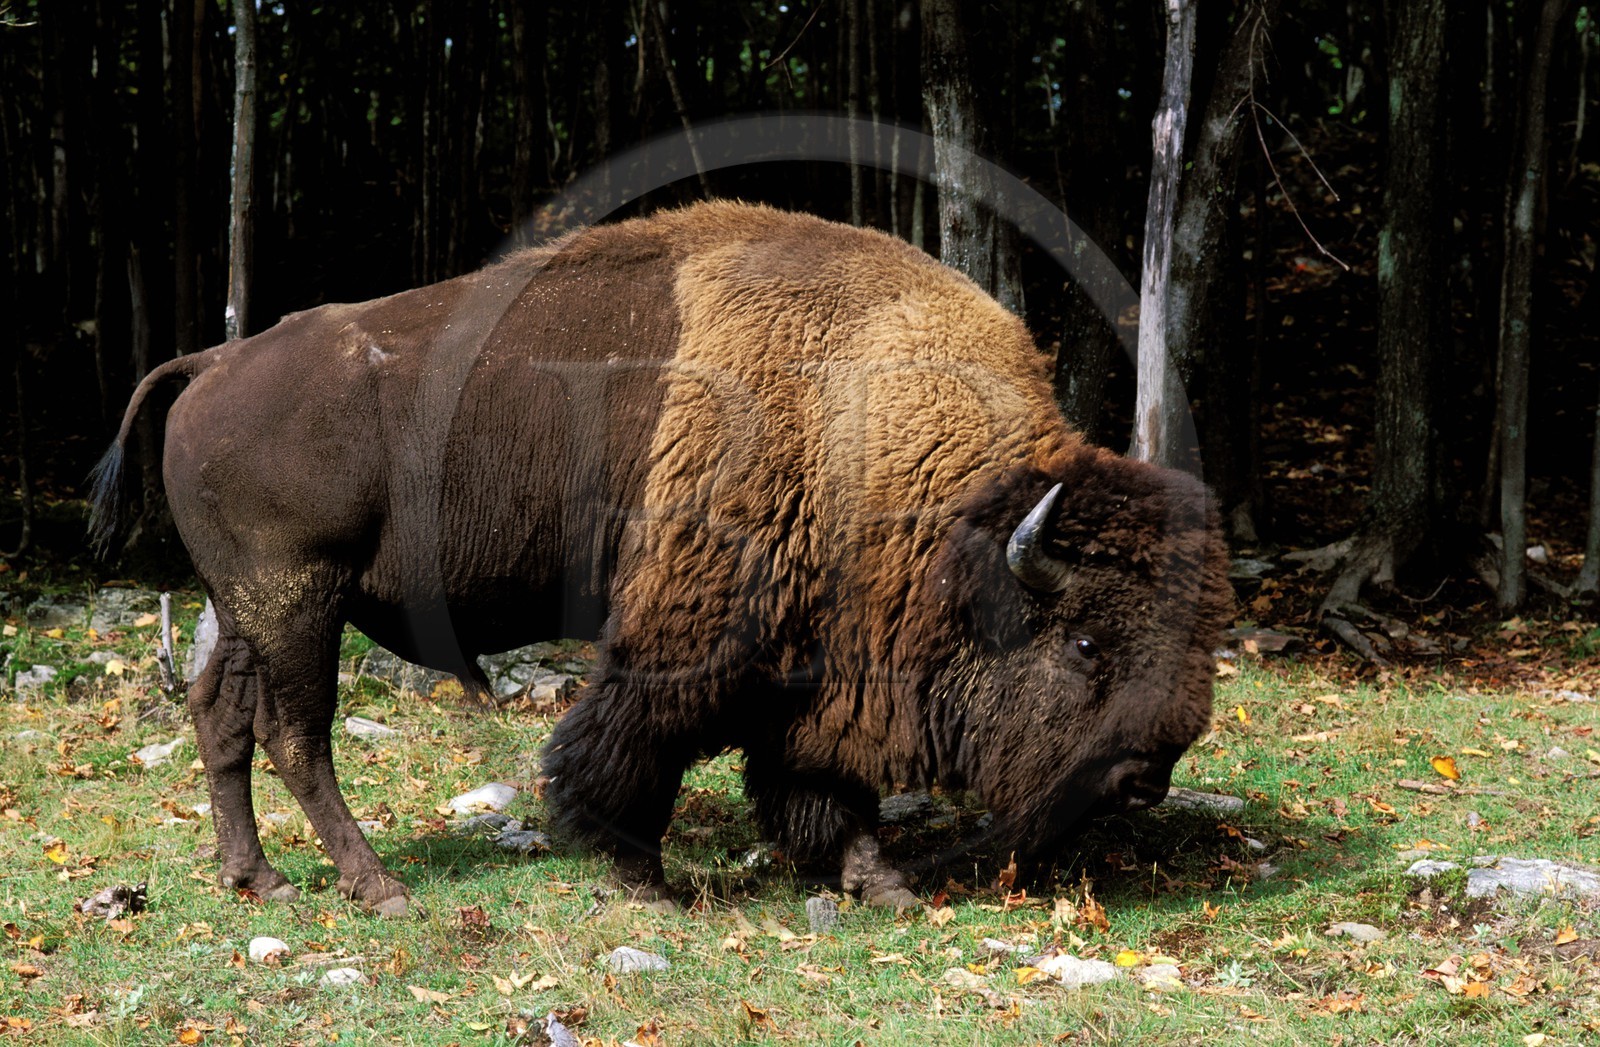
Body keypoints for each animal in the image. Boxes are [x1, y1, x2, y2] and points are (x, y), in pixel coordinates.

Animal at [91, 201, 1231, 915]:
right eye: (1085, 643)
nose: (1143, 777)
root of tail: (212, 362)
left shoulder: (804, 654)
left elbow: (816, 777)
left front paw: (880, 881)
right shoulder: (694, 629)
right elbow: (640, 740)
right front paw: (644, 876)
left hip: (245, 610)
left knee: (221, 717)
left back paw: (261, 881)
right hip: (298, 602)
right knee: (297, 733)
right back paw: (379, 887)